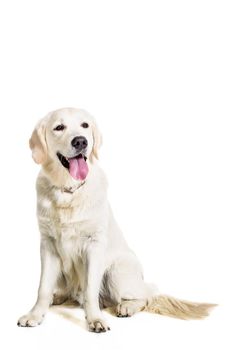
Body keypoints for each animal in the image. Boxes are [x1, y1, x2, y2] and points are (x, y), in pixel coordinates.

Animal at [17, 108, 216, 332]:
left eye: (85, 125)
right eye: (59, 127)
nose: (81, 141)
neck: (69, 192)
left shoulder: (94, 245)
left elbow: (90, 290)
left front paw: (95, 319)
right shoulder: (48, 245)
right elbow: (43, 287)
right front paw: (35, 314)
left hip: (117, 273)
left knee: (148, 295)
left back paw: (126, 307)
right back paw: (57, 297)